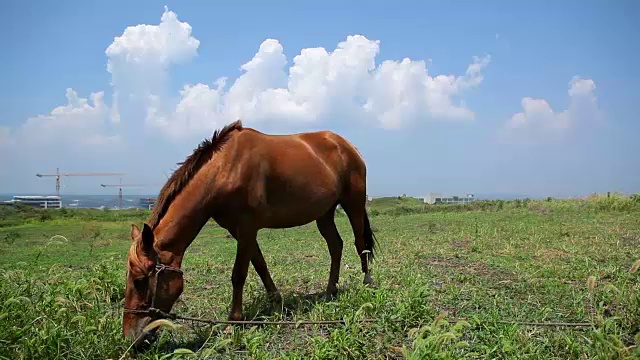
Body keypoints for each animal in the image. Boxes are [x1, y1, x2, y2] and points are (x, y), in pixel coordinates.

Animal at [122, 119, 378, 344]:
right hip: (324, 213)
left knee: (359, 243)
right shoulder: (239, 230)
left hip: (353, 203)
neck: (225, 168)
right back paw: (330, 291)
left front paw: (233, 322)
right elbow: (260, 264)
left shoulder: (246, 227)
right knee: (336, 245)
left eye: (140, 280)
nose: (131, 338)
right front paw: (276, 301)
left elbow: (239, 274)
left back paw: (367, 282)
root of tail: (346, 145)